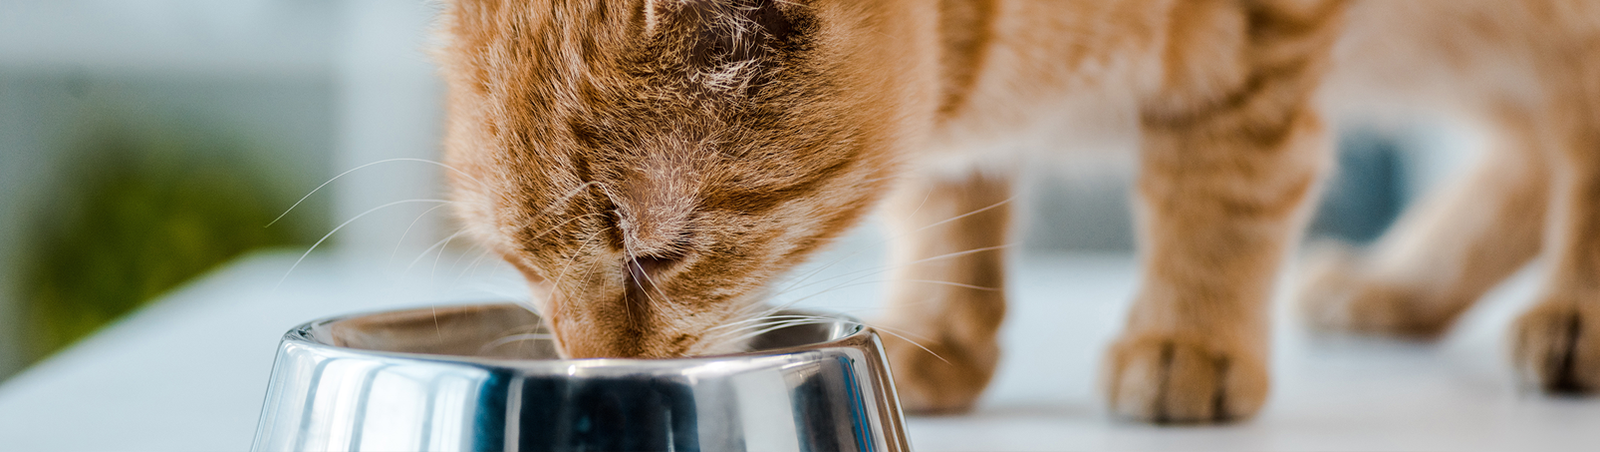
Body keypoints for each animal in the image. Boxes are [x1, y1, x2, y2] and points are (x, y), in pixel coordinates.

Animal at [435, 0, 1600, 423]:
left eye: (655, 251)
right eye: (521, 264)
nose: (595, 370)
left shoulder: (1256, 40)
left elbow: (1219, 183)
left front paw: (1188, 332)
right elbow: (948, 192)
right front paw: (938, 327)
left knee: (1571, 131)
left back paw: (1573, 315)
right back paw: (1399, 283)